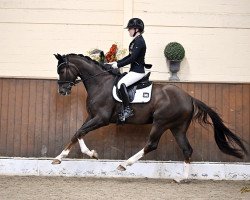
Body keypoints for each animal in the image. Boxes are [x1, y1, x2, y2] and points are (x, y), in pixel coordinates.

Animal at [51, 53, 247, 170]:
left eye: (62, 70)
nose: (62, 91)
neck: (100, 83)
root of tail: (189, 98)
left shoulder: (101, 118)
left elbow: (79, 132)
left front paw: (89, 154)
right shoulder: (92, 116)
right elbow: (77, 133)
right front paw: (61, 157)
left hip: (161, 122)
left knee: (152, 144)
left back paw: (125, 164)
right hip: (177, 127)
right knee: (186, 149)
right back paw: (182, 179)